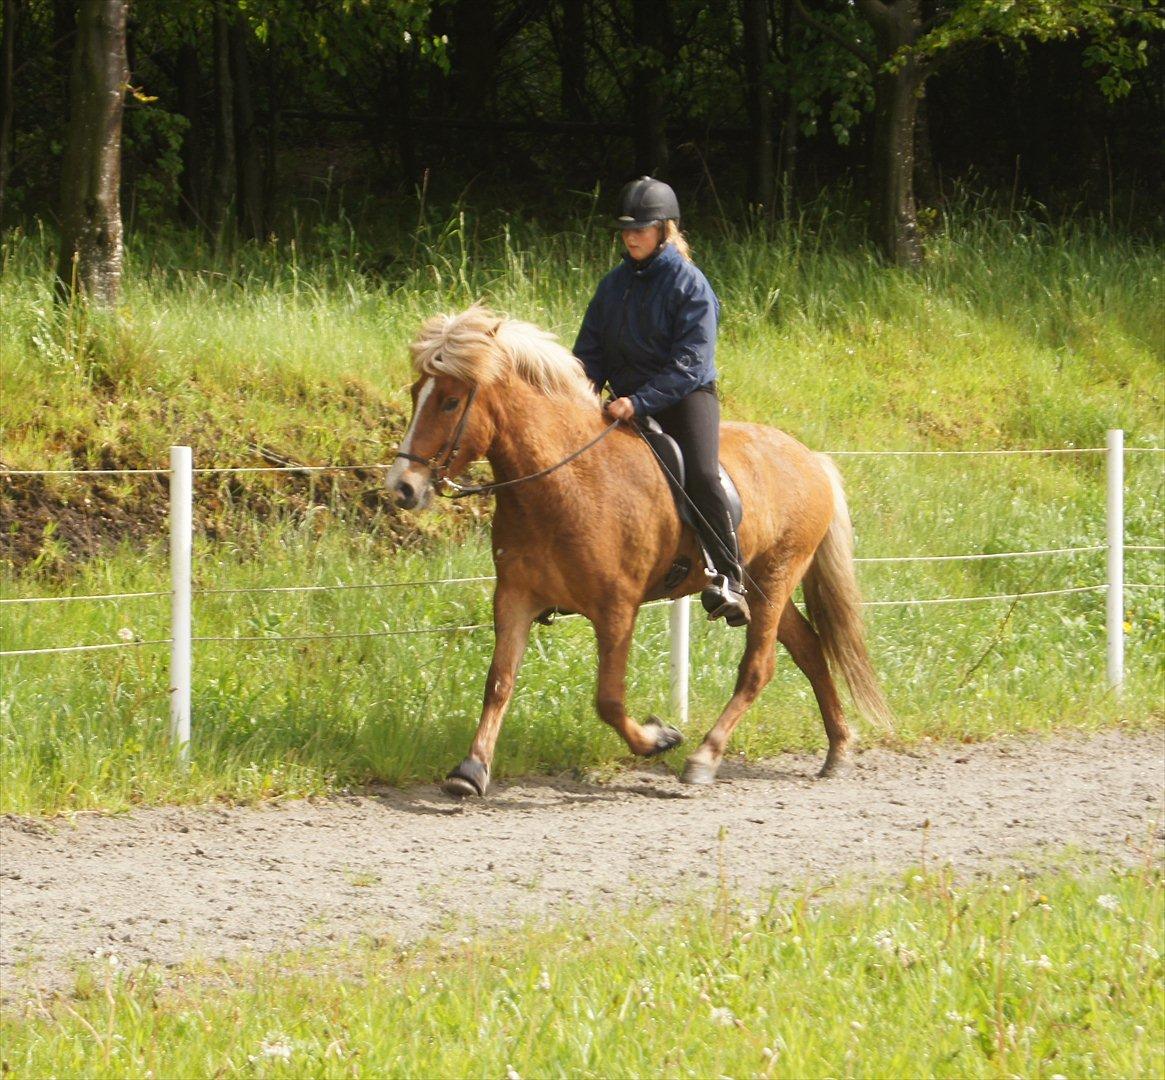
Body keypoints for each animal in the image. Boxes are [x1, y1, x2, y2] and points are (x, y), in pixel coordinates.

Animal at [386, 302, 885, 792]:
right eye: (416, 393)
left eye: (451, 401)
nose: (403, 488)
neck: (564, 481)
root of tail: (812, 459)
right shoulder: (515, 596)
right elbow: (499, 681)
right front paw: (471, 769)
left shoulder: (616, 608)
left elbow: (608, 699)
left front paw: (660, 738)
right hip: (764, 586)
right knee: (810, 649)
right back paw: (839, 748)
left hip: (779, 576)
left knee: (758, 668)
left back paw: (705, 756)